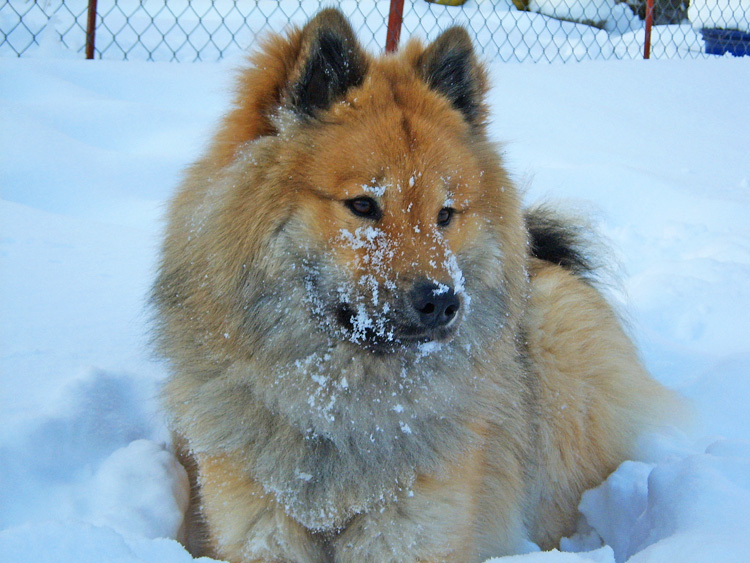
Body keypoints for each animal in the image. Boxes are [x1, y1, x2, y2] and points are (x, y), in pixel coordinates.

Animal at [153, 9, 680, 563]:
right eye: (363, 205)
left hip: (556, 345)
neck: (342, 412)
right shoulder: (256, 524)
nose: (444, 302)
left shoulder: (413, 530)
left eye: (445, 215)